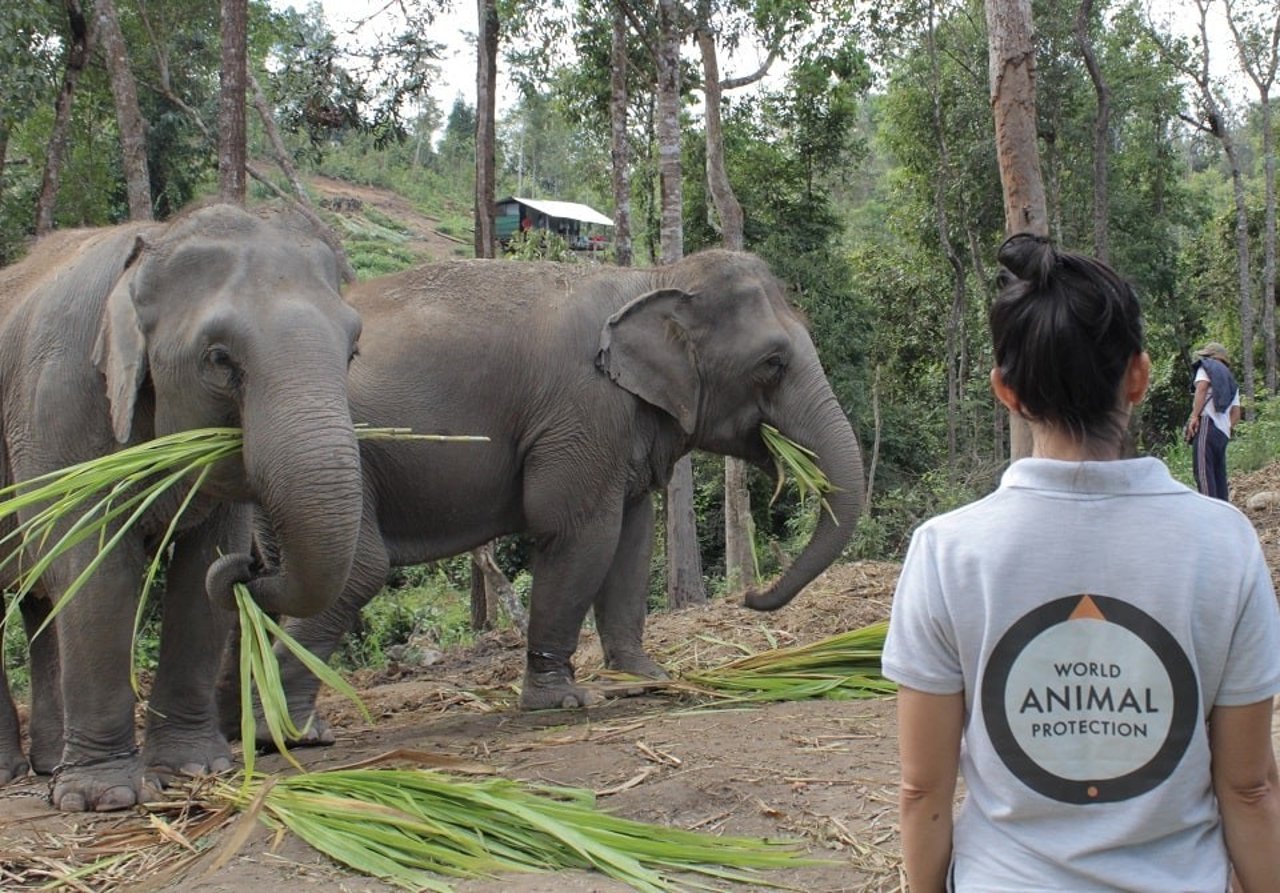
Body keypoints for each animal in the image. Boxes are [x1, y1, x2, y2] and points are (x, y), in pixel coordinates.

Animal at [0, 204, 366, 808]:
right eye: (219, 358)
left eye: (353, 351)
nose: (253, 567)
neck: (151, 244)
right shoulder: (58, 399)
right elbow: (91, 565)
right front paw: (107, 797)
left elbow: (201, 566)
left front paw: (194, 769)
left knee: (37, 603)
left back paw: (50, 764)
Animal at [247, 246, 870, 742]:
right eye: (772, 363)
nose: (749, 596)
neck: (653, 276)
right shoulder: (583, 411)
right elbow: (578, 534)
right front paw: (563, 701)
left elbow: (633, 539)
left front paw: (643, 679)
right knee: (356, 570)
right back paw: (291, 733)